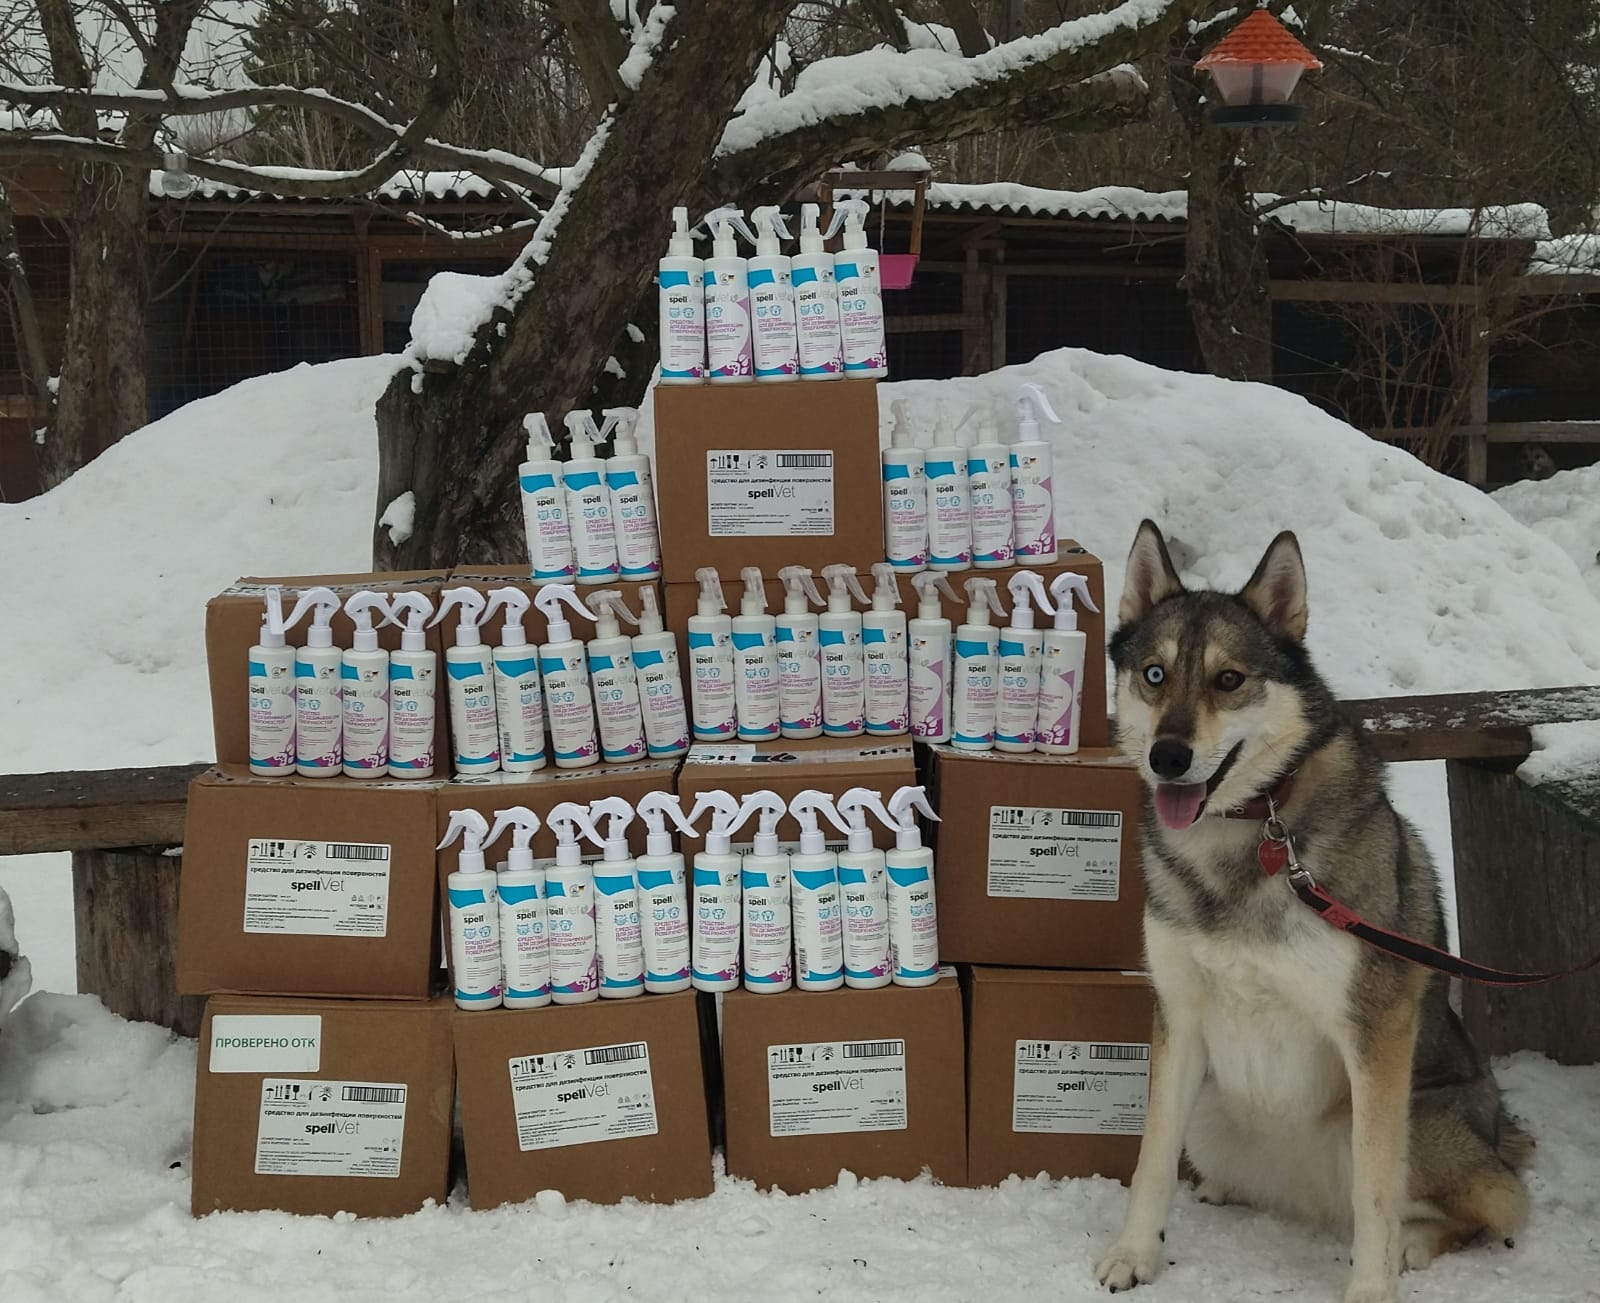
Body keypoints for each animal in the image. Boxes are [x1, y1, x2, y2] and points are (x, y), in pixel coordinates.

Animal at [1095, 521, 1531, 1303]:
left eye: (1229, 680)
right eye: (1153, 674)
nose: (1168, 755)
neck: (1246, 839)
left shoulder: (1377, 1030)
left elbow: (1375, 1193)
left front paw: (1371, 1288)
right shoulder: (1179, 1015)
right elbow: (1149, 1161)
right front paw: (1134, 1255)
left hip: (1417, 1119)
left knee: (1496, 1203)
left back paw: (1413, 1245)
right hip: (1214, 1112)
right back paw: (1228, 1190)